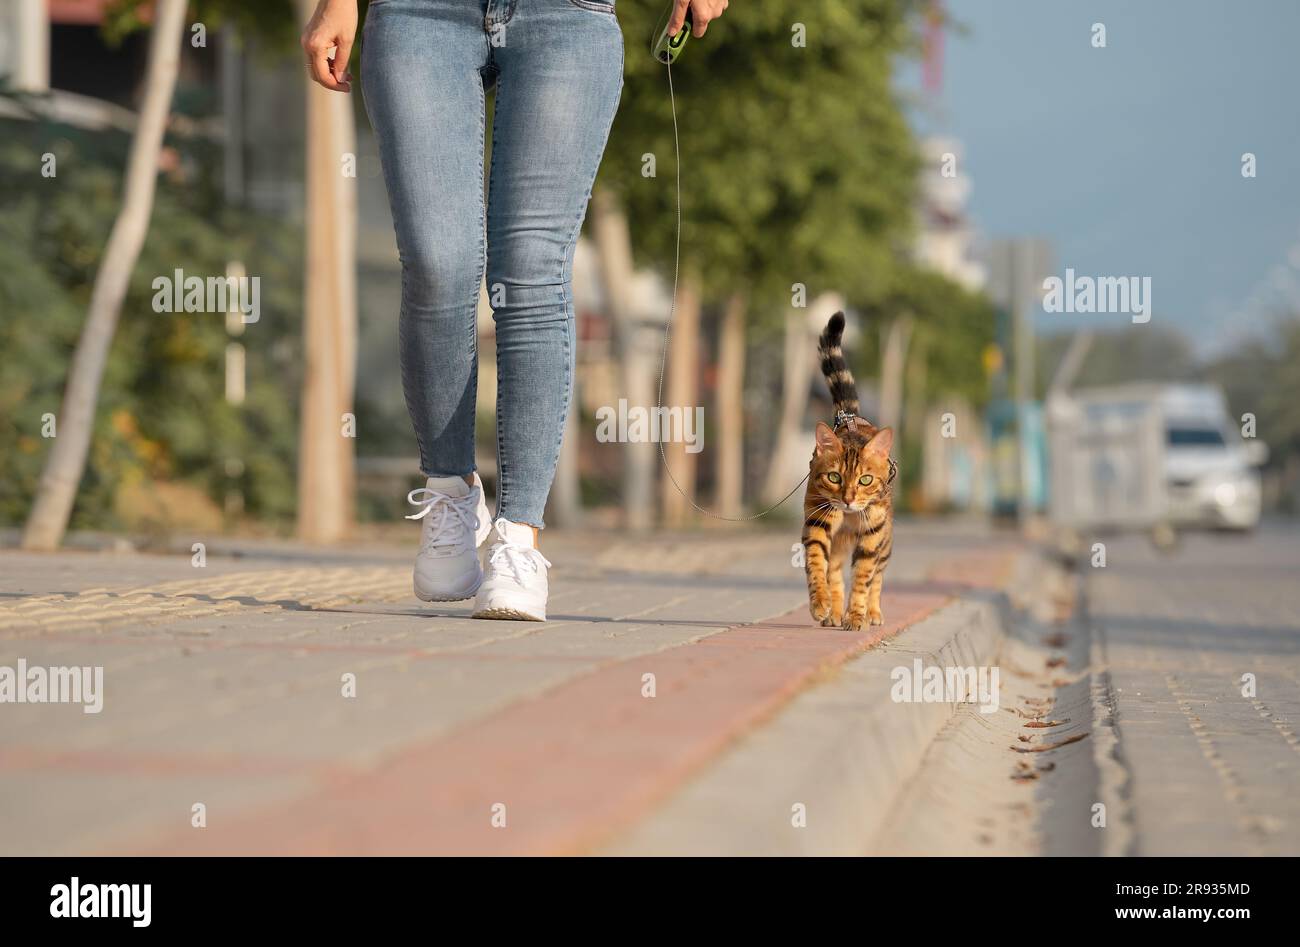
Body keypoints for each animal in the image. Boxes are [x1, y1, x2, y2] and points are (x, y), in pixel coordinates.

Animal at [800, 314, 894, 632]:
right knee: (836, 571)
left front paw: (857, 616)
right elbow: (818, 566)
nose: (849, 500)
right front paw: (821, 604)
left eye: (865, 480)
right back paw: (833, 612)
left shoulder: (872, 535)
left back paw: (873, 613)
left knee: (877, 576)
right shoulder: (818, 522)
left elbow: (864, 578)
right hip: (839, 542)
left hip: (884, 542)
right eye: (834, 477)